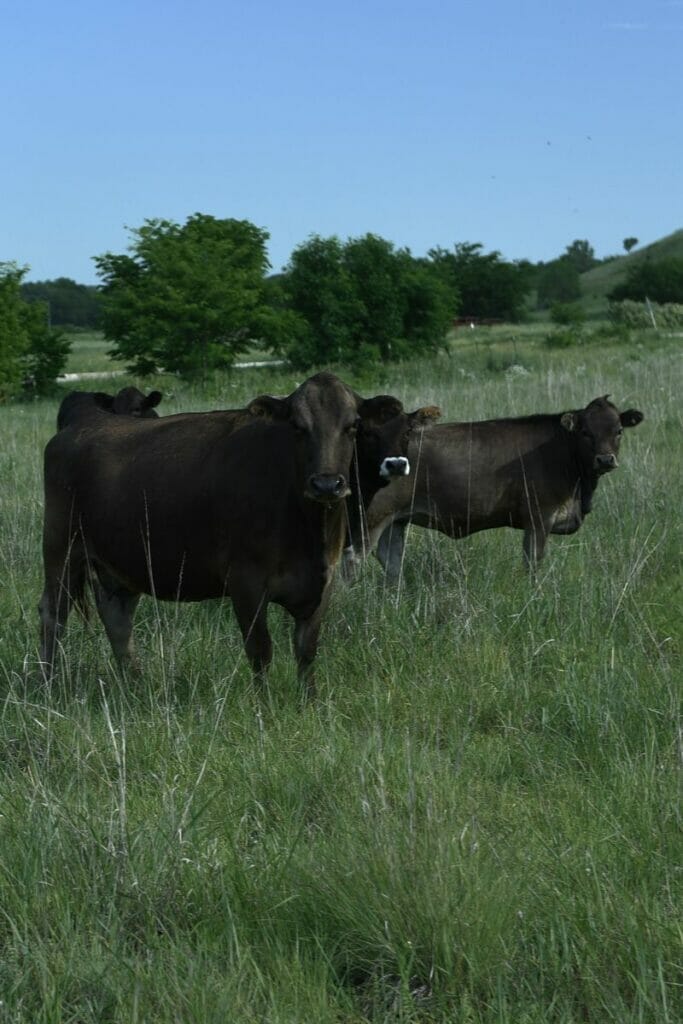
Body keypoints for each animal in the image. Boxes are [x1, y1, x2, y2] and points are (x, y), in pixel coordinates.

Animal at [38, 372, 421, 692]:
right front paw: (265, 708)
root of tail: (86, 423)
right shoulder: (245, 581)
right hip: (61, 549)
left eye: (354, 426)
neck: (307, 531)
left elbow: (306, 650)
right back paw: (49, 686)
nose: (327, 484)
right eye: (297, 426)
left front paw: (308, 703)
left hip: (121, 563)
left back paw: (135, 685)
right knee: (53, 616)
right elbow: (261, 651)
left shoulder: (323, 580)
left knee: (117, 620)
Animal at [350, 395, 643, 581]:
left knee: (390, 560)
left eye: (618, 430)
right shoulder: (539, 517)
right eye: (585, 433)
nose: (605, 460)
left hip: (396, 519)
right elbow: (532, 563)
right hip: (369, 518)